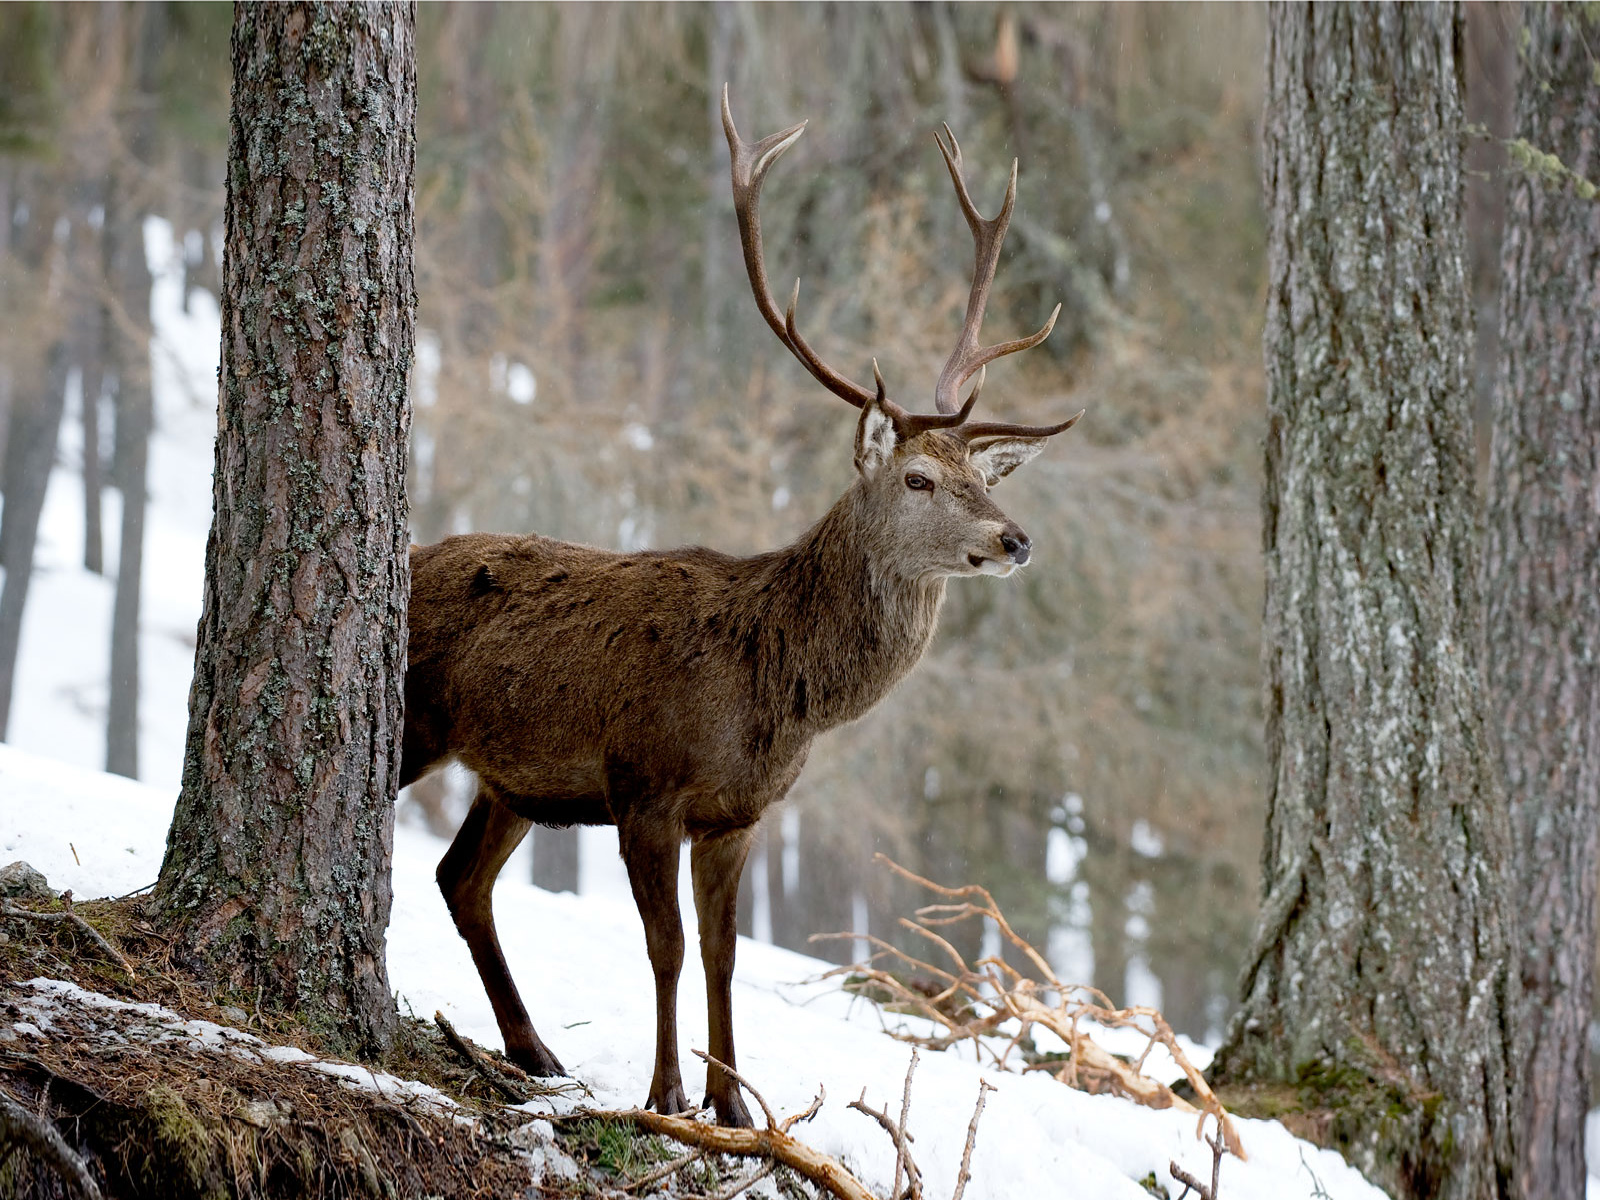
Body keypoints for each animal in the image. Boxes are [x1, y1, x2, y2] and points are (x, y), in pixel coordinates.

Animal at [403, 89, 1088, 1132]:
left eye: (982, 477)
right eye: (921, 479)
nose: (1015, 540)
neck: (773, 695)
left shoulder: (738, 815)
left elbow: (725, 955)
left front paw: (733, 1104)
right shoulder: (644, 785)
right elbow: (669, 947)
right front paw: (666, 1093)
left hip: (514, 780)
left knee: (461, 876)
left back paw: (533, 1049)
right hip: (416, 724)